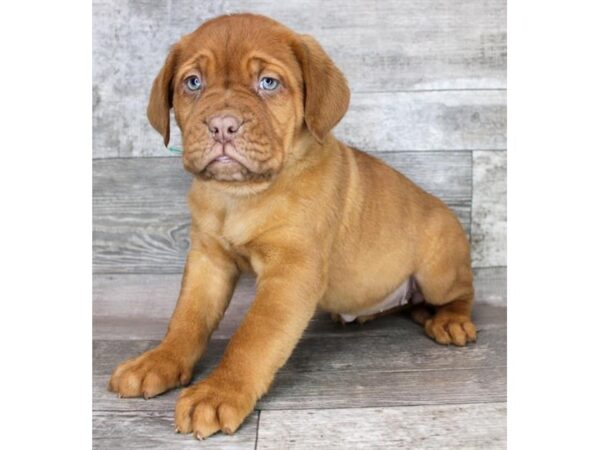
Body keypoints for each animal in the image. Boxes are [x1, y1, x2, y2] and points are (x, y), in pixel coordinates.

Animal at [106, 13, 474, 440]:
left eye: (268, 83)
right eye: (193, 82)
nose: (222, 125)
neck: (241, 195)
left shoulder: (292, 271)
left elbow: (254, 336)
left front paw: (219, 392)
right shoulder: (208, 259)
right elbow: (187, 317)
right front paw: (159, 361)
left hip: (438, 269)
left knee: (461, 292)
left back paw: (450, 320)